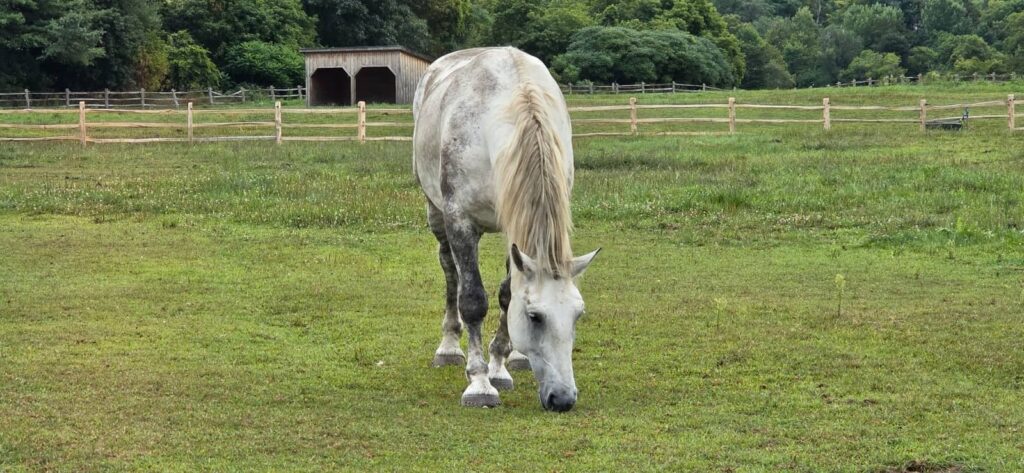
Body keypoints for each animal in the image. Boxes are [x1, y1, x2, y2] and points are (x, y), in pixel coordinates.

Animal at [412, 47, 600, 411]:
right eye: (535, 317)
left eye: (578, 315)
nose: (563, 399)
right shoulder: (460, 221)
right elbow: (472, 299)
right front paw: (480, 383)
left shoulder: (515, 230)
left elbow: (506, 294)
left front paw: (499, 367)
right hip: (436, 214)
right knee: (450, 272)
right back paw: (449, 347)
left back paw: (516, 359)